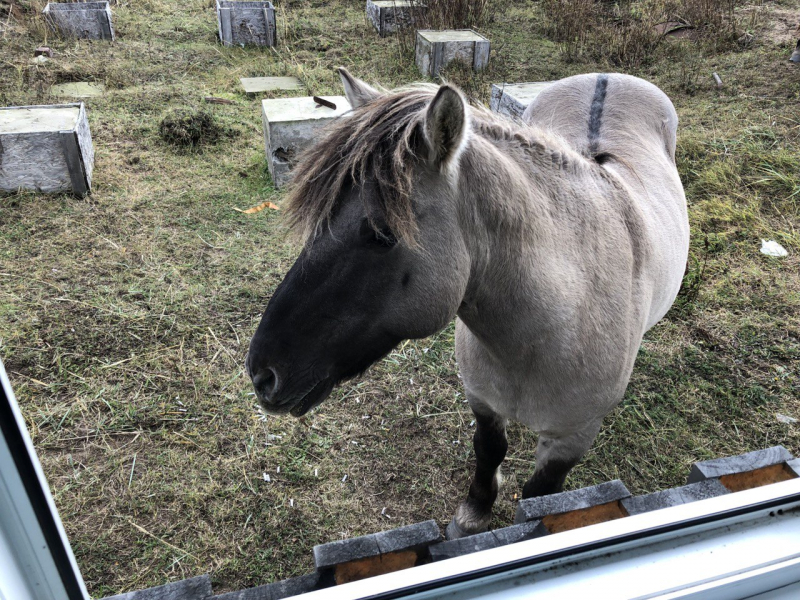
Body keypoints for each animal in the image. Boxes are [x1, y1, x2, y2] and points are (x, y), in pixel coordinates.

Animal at [246, 68, 689, 539]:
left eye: (382, 235)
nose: (262, 374)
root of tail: (608, 75)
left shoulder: (572, 437)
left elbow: (541, 493)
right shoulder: (483, 400)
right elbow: (488, 448)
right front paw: (475, 511)